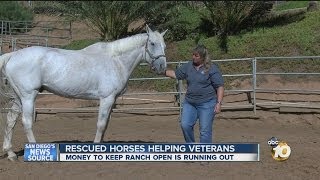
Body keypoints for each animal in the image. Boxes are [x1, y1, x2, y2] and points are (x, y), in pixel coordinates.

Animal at [0, 25, 168, 160]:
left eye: (164, 45)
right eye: (152, 43)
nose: (162, 67)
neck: (116, 60)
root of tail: (12, 55)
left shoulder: (112, 100)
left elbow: (106, 124)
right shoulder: (106, 98)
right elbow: (101, 124)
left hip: (19, 97)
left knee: (10, 120)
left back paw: (11, 154)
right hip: (28, 96)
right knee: (26, 122)